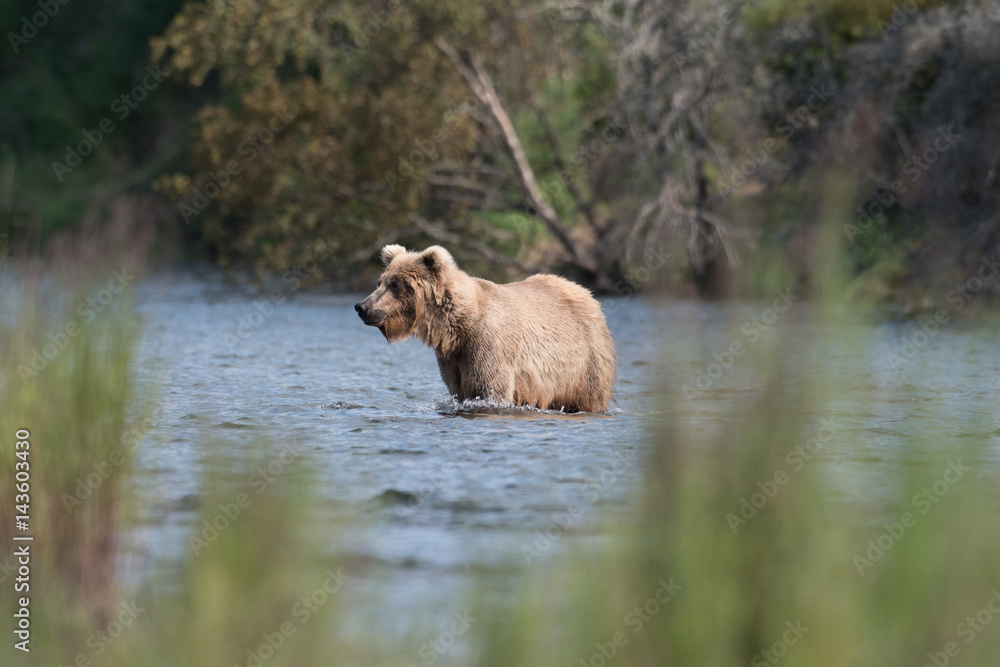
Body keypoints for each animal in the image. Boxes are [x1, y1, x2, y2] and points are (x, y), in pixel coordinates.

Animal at [354, 245, 616, 413]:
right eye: (380, 282)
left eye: (397, 284)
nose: (361, 306)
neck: (454, 329)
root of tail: (588, 294)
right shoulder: (453, 360)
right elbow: (458, 389)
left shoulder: (488, 346)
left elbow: (490, 387)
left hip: (585, 363)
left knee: (590, 397)